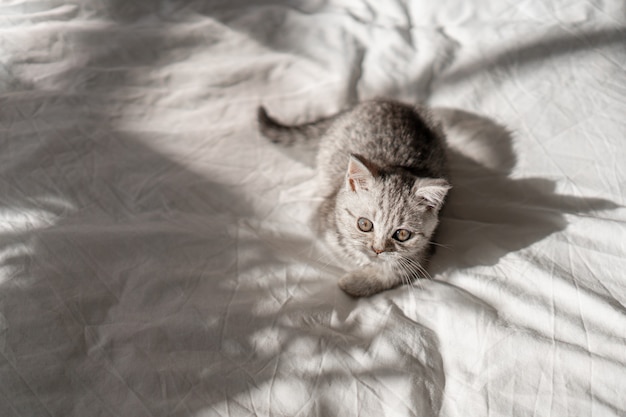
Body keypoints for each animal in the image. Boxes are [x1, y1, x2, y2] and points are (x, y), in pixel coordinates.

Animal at [256, 98, 446, 296]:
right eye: (364, 224)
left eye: (402, 234)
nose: (377, 249)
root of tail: (389, 101)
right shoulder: (321, 218)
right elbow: (343, 254)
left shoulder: (424, 251)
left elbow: (396, 272)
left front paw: (354, 281)